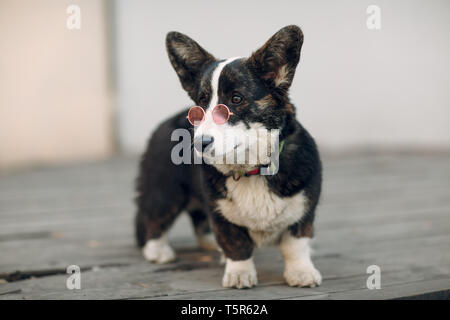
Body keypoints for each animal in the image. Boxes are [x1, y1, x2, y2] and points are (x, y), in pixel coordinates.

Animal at [135, 25, 322, 288]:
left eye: (236, 99)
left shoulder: (304, 210)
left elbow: (295, 245)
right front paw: (239, 274)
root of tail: (166, 122)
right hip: (165, 192)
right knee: (154, 219)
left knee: (198, 220)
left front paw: (301, 272)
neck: (250, 169)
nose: (199, 144)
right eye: (201, 102)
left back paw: (210, 244)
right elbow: (236, 244)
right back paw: (158, 251)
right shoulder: (221, 213)